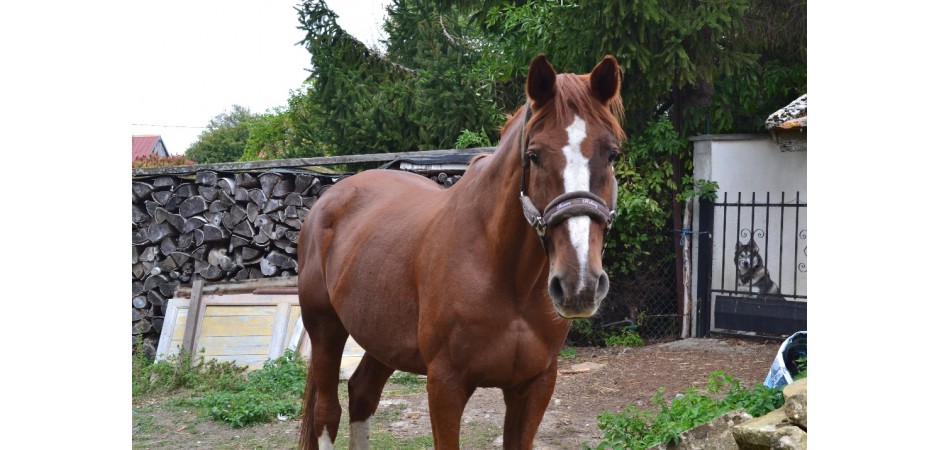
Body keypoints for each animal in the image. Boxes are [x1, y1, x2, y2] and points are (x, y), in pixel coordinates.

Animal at [298, 54, 628, 448]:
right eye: (533, 155)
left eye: (612, 155)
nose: (579, 284)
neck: (503, 273)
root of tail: (328, 199)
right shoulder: (445, 384)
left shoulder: (535, 385)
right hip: (325, 329)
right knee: (327, 413)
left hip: (382, 338)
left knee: (362, 393)